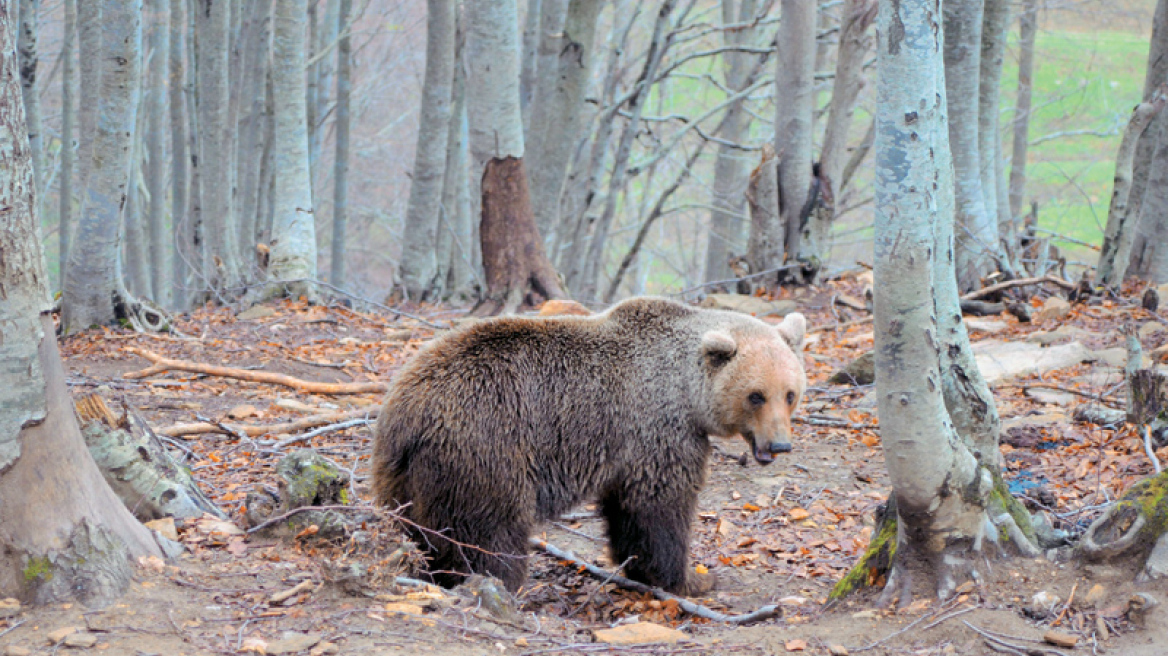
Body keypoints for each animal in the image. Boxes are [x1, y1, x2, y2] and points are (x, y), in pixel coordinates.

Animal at [369, 296, 808, 592]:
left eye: (790, 393)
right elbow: (660, 506)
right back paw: (497, 581)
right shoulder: (656, 428)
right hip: (486, 448)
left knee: (419, 527)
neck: (685, 389)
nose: (780, 445)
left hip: (401, 473)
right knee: (489, 530)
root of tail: (408, 412)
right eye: (756, 395)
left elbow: (627, 511)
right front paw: (691, 579)